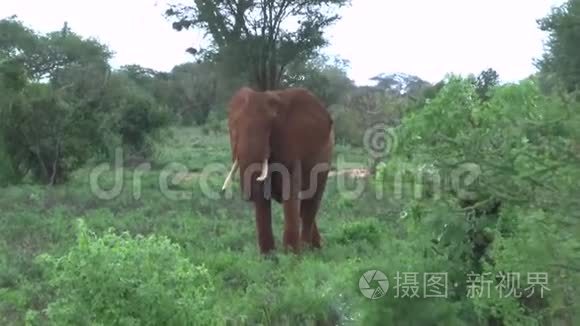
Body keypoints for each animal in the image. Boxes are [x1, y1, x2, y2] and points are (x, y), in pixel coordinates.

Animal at [221, 86, 334, 255]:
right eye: (233, 130)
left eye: (271, 128)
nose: (246, 197)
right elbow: (261, 197)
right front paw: (269, 257)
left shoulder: (292, 144)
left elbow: (289, 191)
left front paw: (291, 256)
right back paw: (316, 247)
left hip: (325, 160)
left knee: (311, 201)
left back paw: (309, 250)